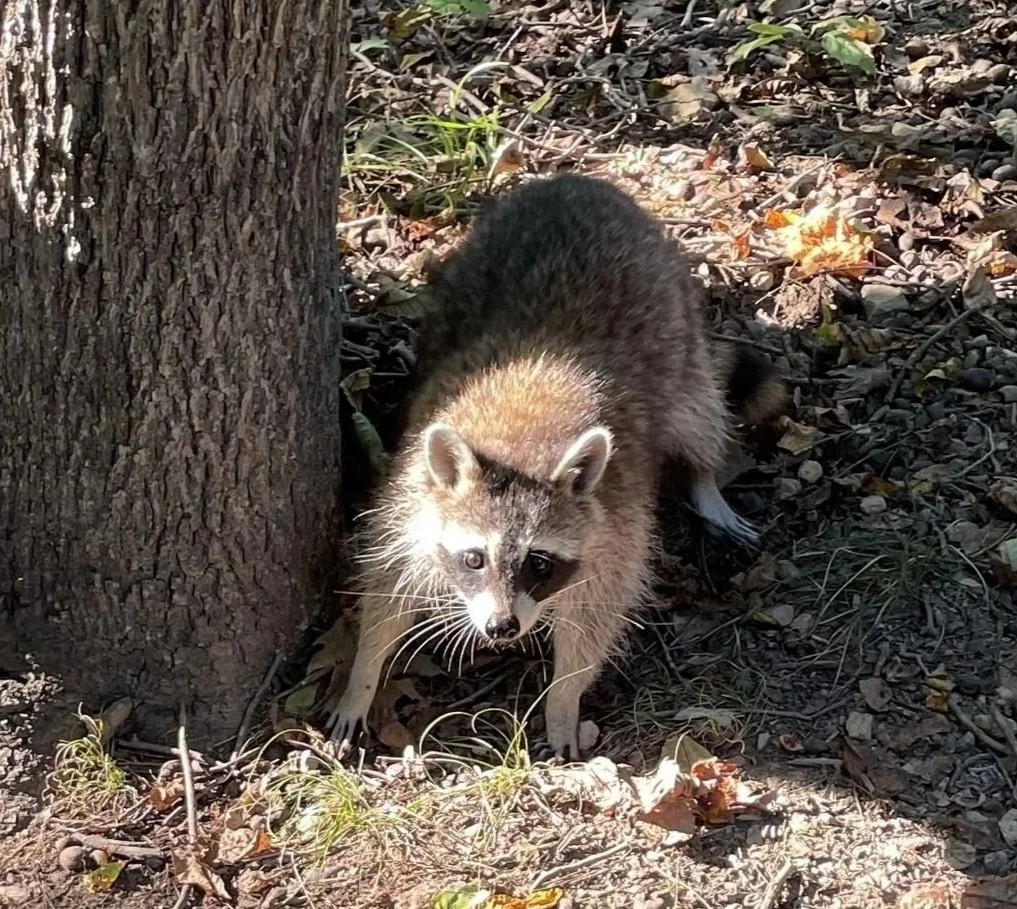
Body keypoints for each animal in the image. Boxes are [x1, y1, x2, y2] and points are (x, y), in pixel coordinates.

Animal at [327, 174, 785, 759]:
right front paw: (363, 675)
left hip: (678, 324)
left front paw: (563, 698)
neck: (520, 445)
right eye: (474, 558)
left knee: (698, 416)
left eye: (539, 562)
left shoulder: (616, 525)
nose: (501, 628)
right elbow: (388, 587)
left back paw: (705, 481)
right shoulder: (411, 496)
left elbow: (597, 616)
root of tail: (576, 180)